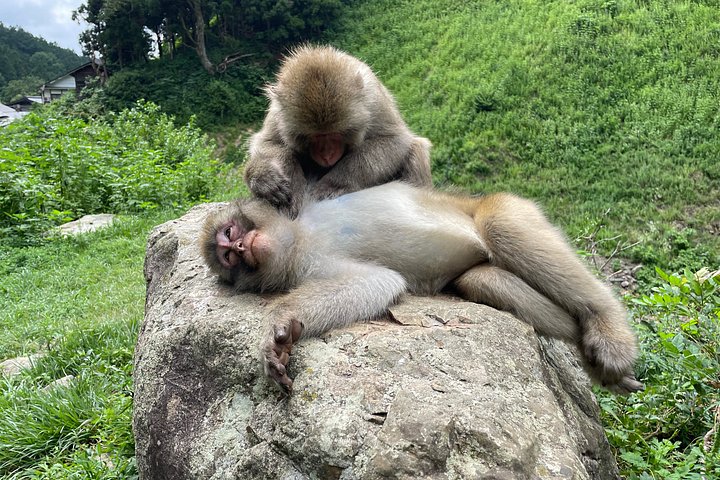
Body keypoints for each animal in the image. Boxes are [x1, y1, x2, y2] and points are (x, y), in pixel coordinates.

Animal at [201, 182, 642, 395]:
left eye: (231, 233)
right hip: (482, 265)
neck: (299, 238)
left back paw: (607, 327)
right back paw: (596, 361)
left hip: (509, 206)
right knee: (481, 279)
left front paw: (277, 324)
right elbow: (377, 282)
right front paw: (283, 330)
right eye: (228, 258)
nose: (240, 248)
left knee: (500, 226)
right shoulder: (309, 264)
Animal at [244, 44, 433, 217]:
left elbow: (394, 140)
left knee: (416, 148)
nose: (327, 155)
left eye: (335, 134)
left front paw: (334, 184)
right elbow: (267, 143)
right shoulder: (277, 111)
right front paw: (272, 180)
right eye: (315, 136)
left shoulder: (373, 99)